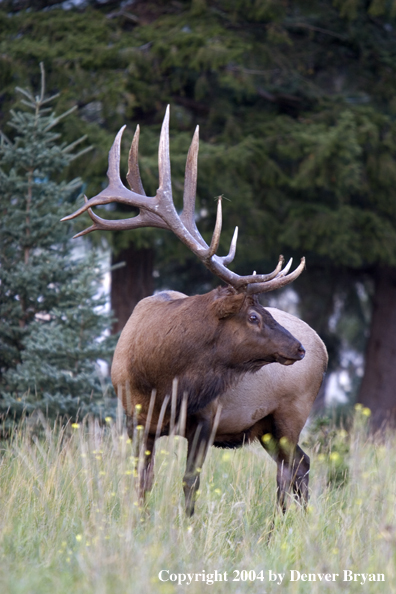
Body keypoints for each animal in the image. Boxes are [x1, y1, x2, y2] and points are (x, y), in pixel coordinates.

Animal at [62, 107, 328, 512]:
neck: (160, 379)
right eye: (253, 316)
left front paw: (187, 523)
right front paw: (139, 519)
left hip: (290, 414)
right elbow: (143, 482)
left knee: (291, 469)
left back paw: (282, 521)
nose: (297, 348)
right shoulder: (134, 420)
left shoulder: (207, 419)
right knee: (301, 464)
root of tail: (324, 347)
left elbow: (190, 484)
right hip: (265, 427)